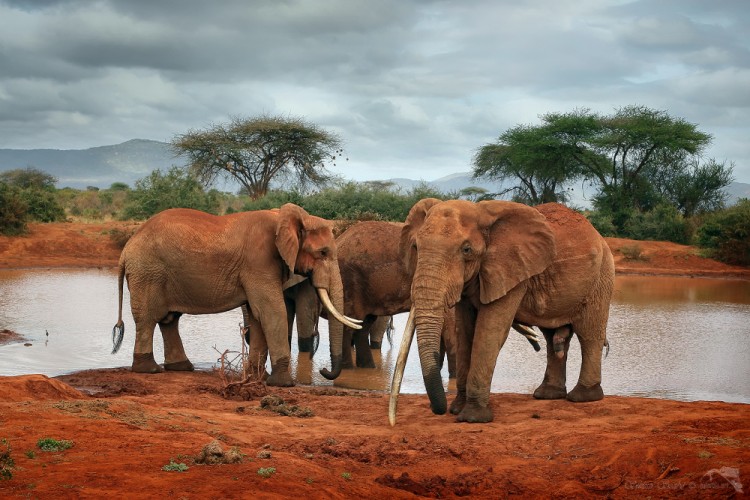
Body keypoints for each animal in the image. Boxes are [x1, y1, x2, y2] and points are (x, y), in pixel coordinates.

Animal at [109, 205, 364, 384]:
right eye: (323, 253)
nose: (324, 370)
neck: (285, 218)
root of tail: (126, 249)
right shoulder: (259, 261)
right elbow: (272, 310)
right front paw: (283, 383)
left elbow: (258, 314)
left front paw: (258, 377)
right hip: (147, 273)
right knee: (148, 318)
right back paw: (149, 369)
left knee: (169, 319)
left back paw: (181, 367)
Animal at [390, 200, 612, 426]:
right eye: (415, 247)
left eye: (466, 250)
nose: (441, 410)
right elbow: (465, 334)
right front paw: (457, 409)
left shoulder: (511, 272)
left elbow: (489, 333)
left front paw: (473, 417)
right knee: (552, 338)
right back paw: (547, 394)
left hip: (601, 277)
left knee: (589, 334)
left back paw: (583, 397)